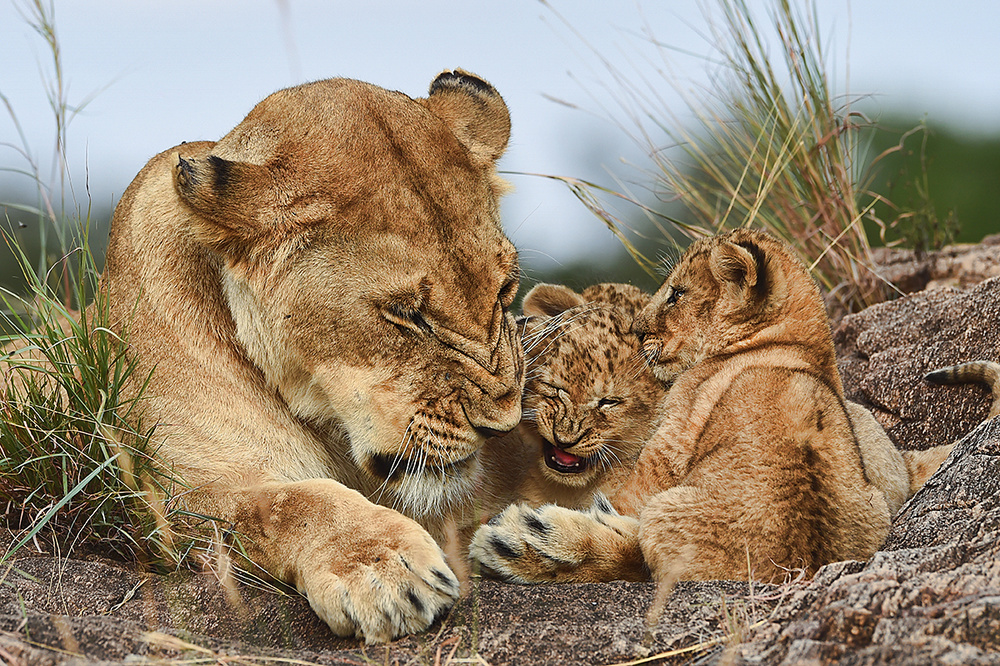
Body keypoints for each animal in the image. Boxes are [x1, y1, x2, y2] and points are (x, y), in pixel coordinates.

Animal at [99, 71, 523, 642]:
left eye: (504, 291)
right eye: (406, 314)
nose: (502, 428)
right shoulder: (162, 495)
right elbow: (290, 501)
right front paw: (381, 568)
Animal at [472, 229, 908, 585]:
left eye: (677, 294)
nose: (637, 329)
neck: (794, 342)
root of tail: (796, 567)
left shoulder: (671, 436)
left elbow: (624, 497)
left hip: (665, 509)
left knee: (638, 556)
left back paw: (523, 541)